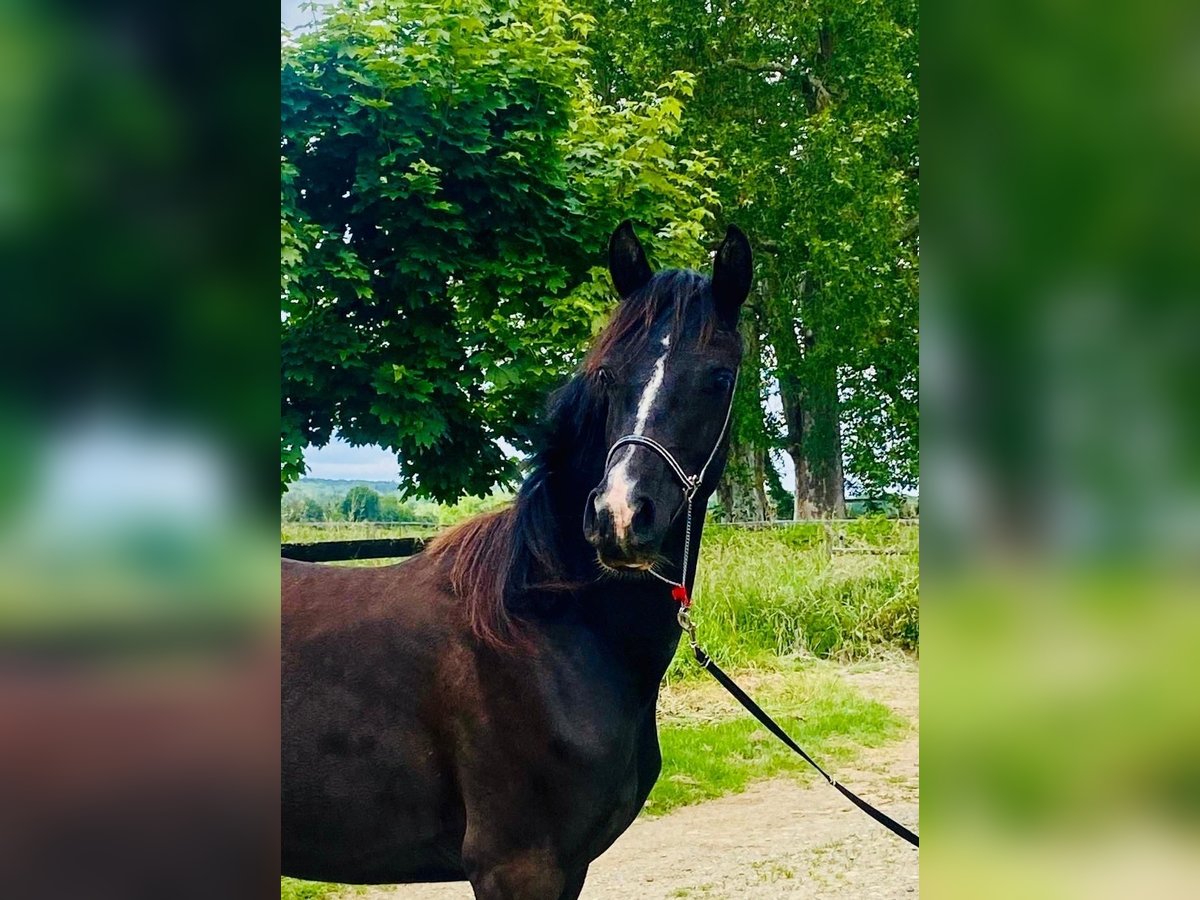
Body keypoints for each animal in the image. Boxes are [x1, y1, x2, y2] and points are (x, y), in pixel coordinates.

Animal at [283, 222, 748, 897]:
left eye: (718, 377)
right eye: (607, 376)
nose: (619, 517)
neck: (548, 626)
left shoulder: (568, 866)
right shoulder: (517, 864)